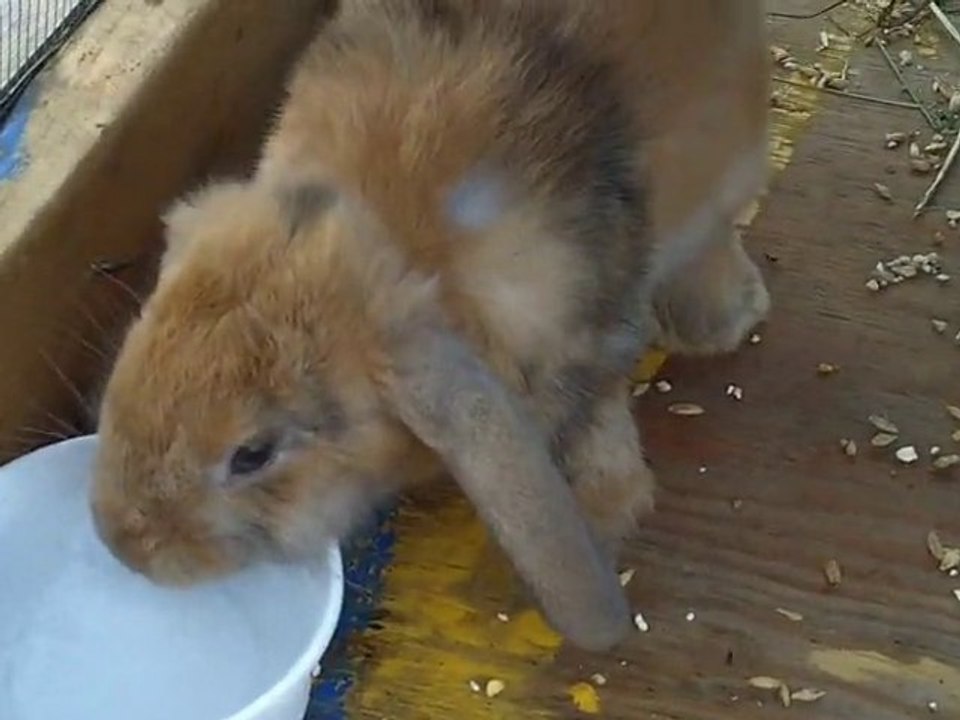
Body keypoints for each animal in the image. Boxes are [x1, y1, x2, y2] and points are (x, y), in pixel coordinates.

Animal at [90, 0, 769, 653]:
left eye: (252, 455)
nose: (124, 544)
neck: (393, 235)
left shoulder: (585, 353)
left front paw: (601, 523)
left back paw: (721, 317)